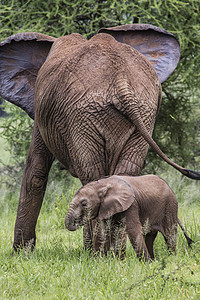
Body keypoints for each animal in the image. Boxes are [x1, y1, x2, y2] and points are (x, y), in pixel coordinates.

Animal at [0, 25, 199, 251]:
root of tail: (121, 80)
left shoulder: (42, 110)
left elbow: (35, 172)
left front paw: (21, 254)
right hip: (141, 111)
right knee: (124, 174)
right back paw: (112, 253)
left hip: (81, 115)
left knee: (91, 175)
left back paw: (98, 254)